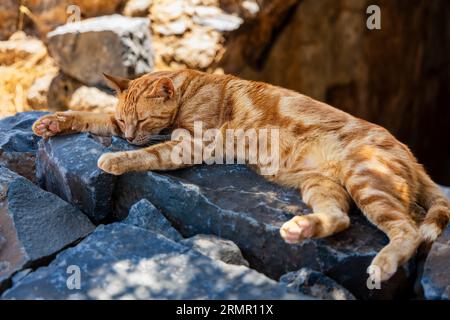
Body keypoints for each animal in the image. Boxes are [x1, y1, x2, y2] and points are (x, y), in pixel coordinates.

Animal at [33, 70, 450, 282]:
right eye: (124, 122)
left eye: (143, 120)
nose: (130, 136)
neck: (190, 87)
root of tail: (412, 156)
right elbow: (92, 116)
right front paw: (53, 122)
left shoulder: (189, 144)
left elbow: (149, 154)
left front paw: (115, 159)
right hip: (321, 184)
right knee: (340, 218)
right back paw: (300, 229)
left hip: (367, 180)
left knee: (409, 231)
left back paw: (382, 264)